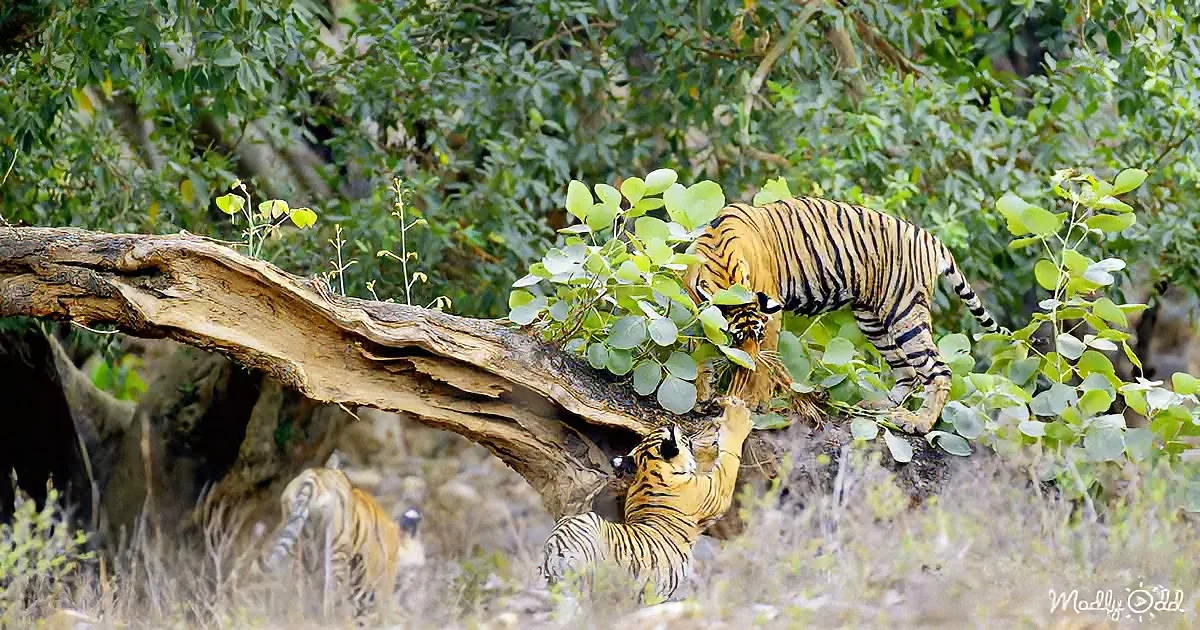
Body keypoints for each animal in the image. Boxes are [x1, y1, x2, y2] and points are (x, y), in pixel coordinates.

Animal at [259, 451, 424, 621]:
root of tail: (313, 477)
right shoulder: (376, 585)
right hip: (336, 552)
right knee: (330, 594)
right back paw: (329, 620)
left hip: (297, 549)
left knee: (296, 588)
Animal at [540, 395, 754, 602]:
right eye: (686, 440)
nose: (687, 432)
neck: (647, 470)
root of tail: (554, 549)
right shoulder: (717, 489)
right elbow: (729, 455)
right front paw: (737, 418)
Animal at [682, 196, 1002, 435]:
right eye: (735, 339)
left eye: (756, 336)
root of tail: (928, 237)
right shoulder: (698, 313)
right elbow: (698, 355)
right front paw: (702, 398)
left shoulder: (770, 315)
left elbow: (764, 364)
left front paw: (751, 403)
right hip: (873, 320)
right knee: (908, 372)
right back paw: (880, 408)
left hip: (904, 310)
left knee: (938, 369)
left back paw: (917, 423)